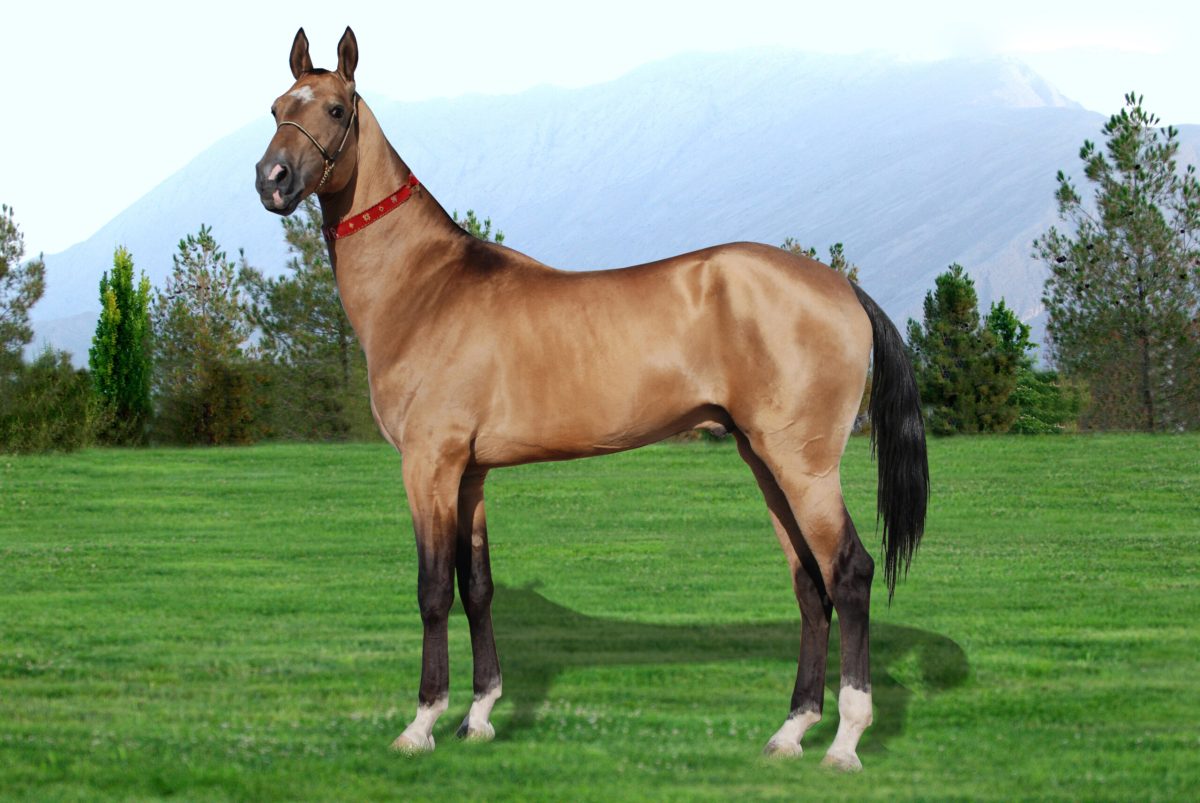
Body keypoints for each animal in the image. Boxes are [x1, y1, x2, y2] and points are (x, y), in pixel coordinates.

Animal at [254, 27, 928, 771]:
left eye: (336, 109)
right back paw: (791, 731)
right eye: (277, 105)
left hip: (803, 465)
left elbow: (433, 591)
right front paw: (479, 716)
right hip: (763, 459)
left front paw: (422, 722)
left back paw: (844, 739)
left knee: (849, 572)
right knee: (810, 583)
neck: (427, 286)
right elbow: (477, 587)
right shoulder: (471, 474)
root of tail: (842, 287)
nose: (272, 180)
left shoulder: (428, 465)